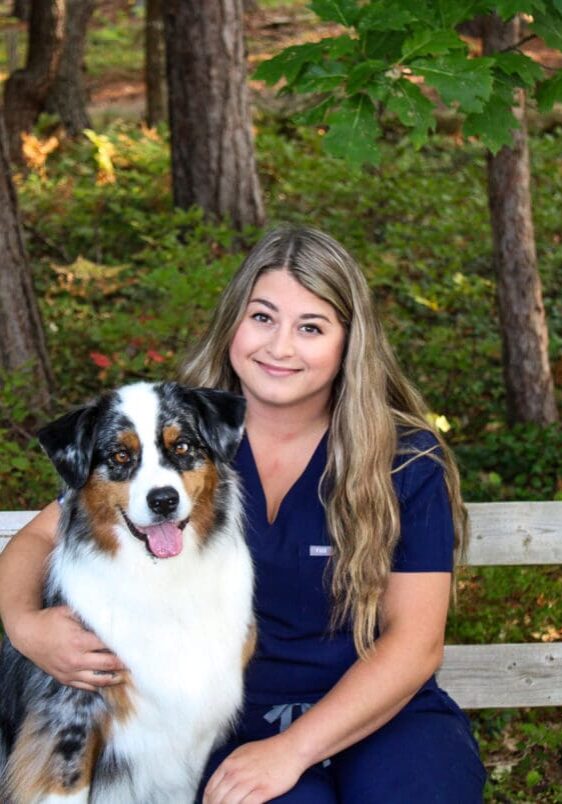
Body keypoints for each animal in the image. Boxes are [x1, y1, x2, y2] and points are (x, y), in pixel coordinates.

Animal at [0, 380, 254, 800]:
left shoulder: (190, 739)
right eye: (120, 455)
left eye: (182, 446)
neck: (160, 580)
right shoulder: (66, 721)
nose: (164, 500)